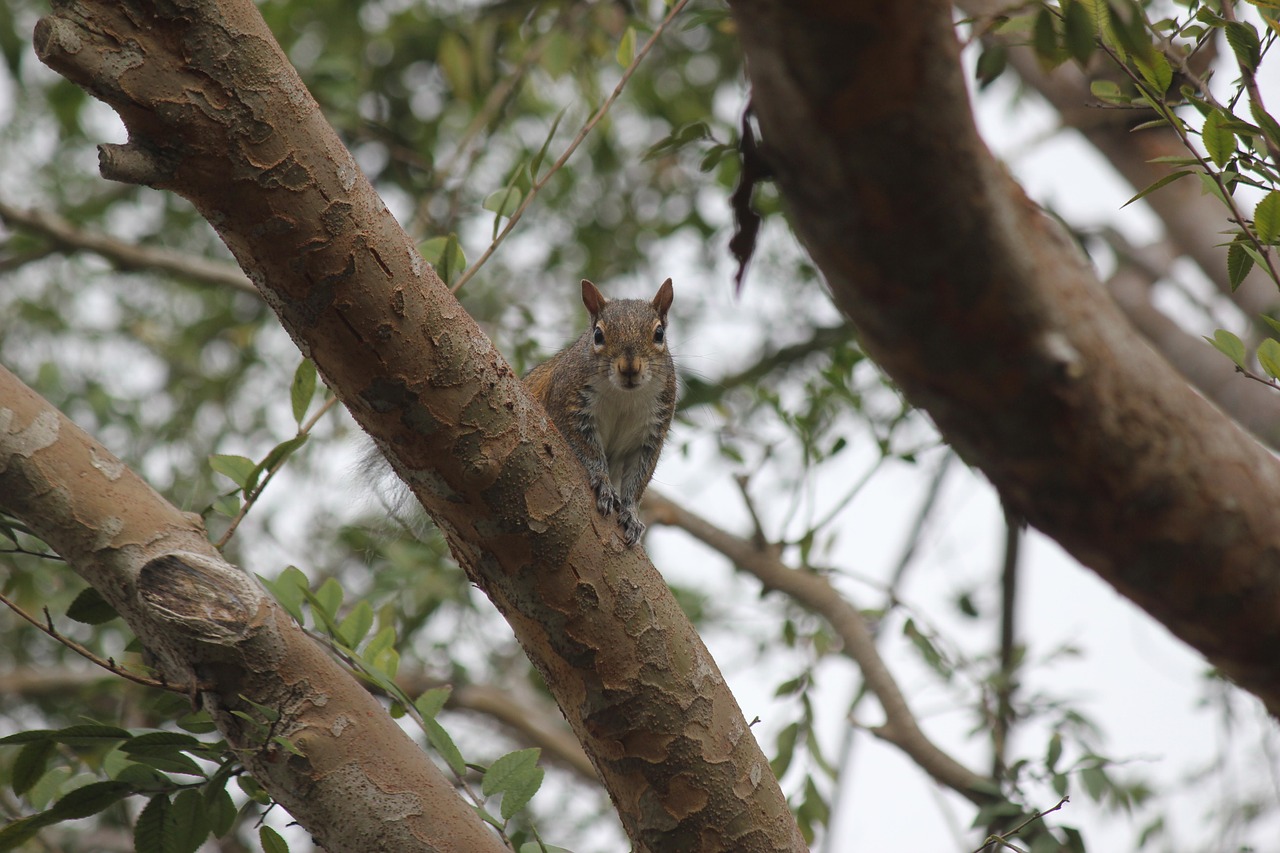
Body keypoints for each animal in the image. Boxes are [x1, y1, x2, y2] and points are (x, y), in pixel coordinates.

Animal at [522, 279, 675, 545]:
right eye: (598, 335)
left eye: (659, 334)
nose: (629, 368)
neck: (625, 395)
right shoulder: (567, 406)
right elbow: (586, 449)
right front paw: (603, 482)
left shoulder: (652, 432)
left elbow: (638, 477)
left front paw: (631, 513)